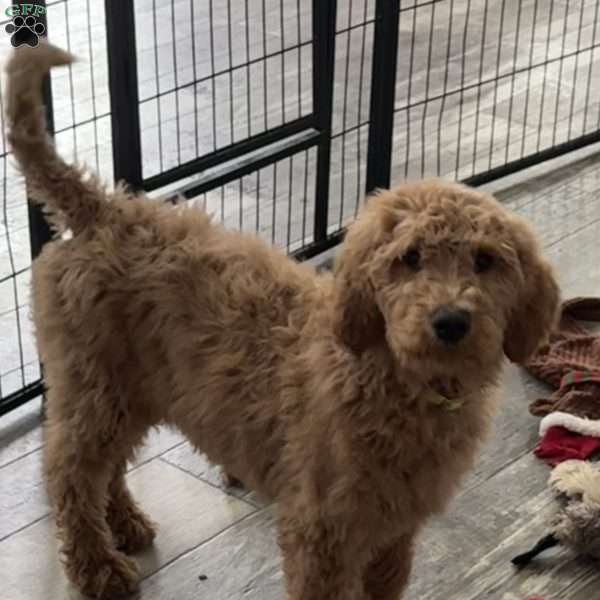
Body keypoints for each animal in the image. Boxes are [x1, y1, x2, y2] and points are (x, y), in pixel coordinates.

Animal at [4, 43, 560, 600]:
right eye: (410, 258)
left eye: (486, 261)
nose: (449, 323)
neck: (393, 380)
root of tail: (102, 208)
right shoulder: (322, 529)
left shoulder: (394, 529)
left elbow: (384, 582)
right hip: (94, 384)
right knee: (69, 472)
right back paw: (99, 566)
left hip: (127, 387)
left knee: (105, 464)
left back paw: (124, 522)